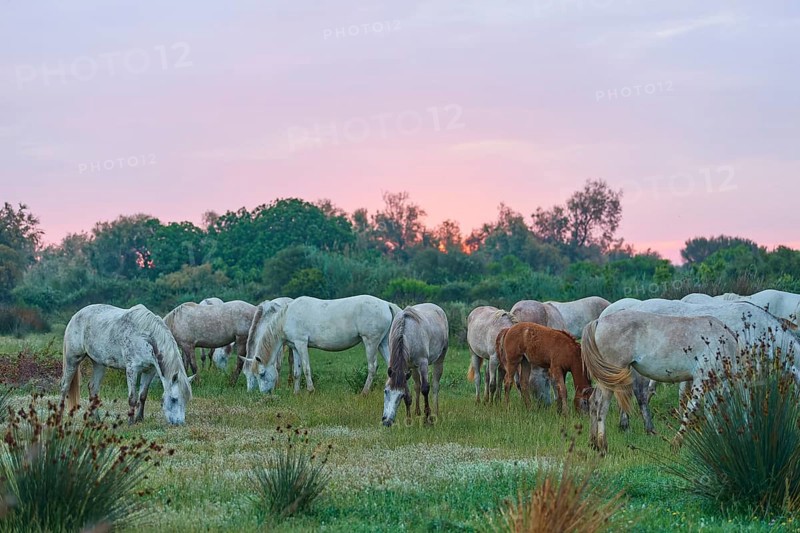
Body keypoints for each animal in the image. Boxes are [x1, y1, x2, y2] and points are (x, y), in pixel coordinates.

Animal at [60, 304, 193, 425]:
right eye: (174, 399)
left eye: (186, 400)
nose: (179, 423)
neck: (145, 337)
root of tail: (75, 316)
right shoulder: (132, 369)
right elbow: (132, 398)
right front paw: (130, 422)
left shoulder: (149, 371)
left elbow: (143, 395)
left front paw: (139, 419)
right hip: (73, 359)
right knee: (65, 386)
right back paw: (60, 416)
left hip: (99, 364)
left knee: (93, 387)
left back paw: (97, 419)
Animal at [245, 295, 399, 394]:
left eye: (262, 374)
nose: (265, 394)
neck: (287, 316)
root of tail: (386, 304)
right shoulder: (295, 347)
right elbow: (297, 371)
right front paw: (296, 393)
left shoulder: (301, 344)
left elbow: (306, 368)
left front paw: (310, 390)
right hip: (382, 343)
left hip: (371, 342)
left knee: (372, 367)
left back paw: (364, 392)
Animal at [582, 310, 739, 454]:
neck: (723, 342)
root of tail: (599, 321)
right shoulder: (701, 380)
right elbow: (690, 410)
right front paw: (676, 443)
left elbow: (711, 411)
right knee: (602, 408)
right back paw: (603, 446)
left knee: (594, 401)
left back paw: (593, 442)